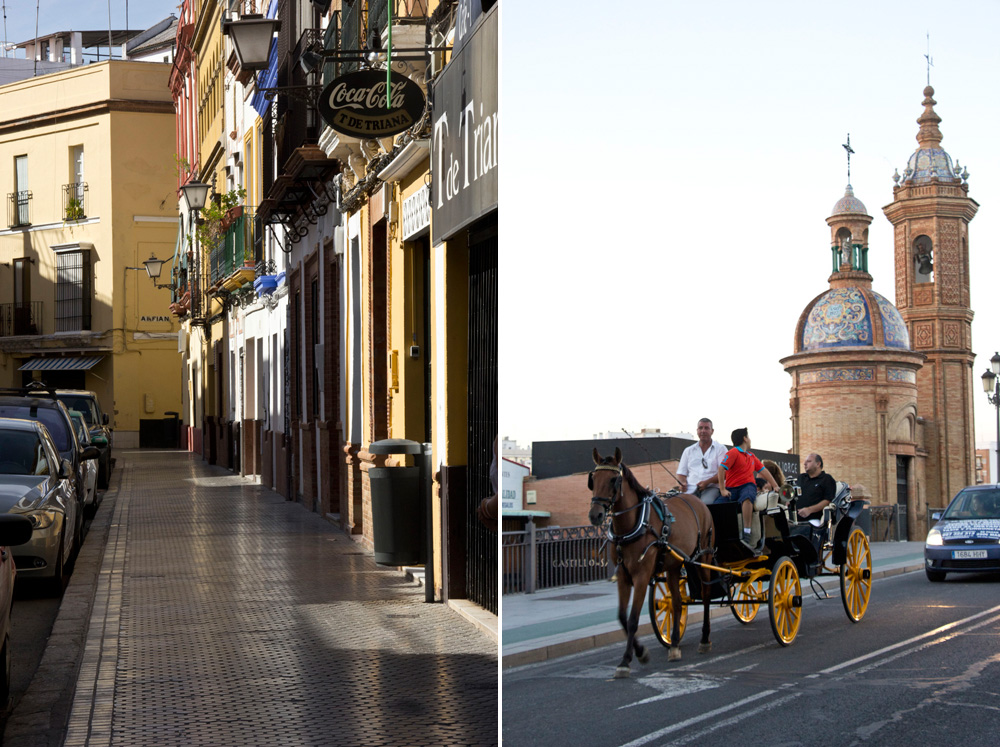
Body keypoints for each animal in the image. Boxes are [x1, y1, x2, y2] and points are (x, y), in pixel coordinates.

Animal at [588, 450, 716, 676]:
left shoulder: (642, 575)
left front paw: (626, 660)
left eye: (613, 479)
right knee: (677, 602)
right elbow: (622, 617)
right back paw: (674, 645)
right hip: (674, 566)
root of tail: (698, 501)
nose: (596, 515)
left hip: (704, 558)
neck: (634, 524)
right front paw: (640, 652)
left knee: (707, 596)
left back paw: (704, 639)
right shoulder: (623, 575)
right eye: (593, 479)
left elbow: (632, 620)